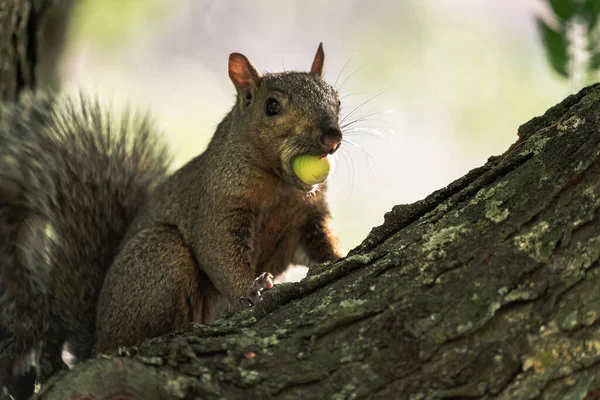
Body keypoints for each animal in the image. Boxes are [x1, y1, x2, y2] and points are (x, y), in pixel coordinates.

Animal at [0, 42, 344, 398]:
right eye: (271, 106)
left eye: (337, 100)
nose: (331, 136)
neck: (280, 187)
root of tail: (97, 338)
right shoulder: (217, 205)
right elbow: (219, 254)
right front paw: (252, 289)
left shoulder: (308, 218)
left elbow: (319, 244)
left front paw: (337, 258)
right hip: (160, 254)